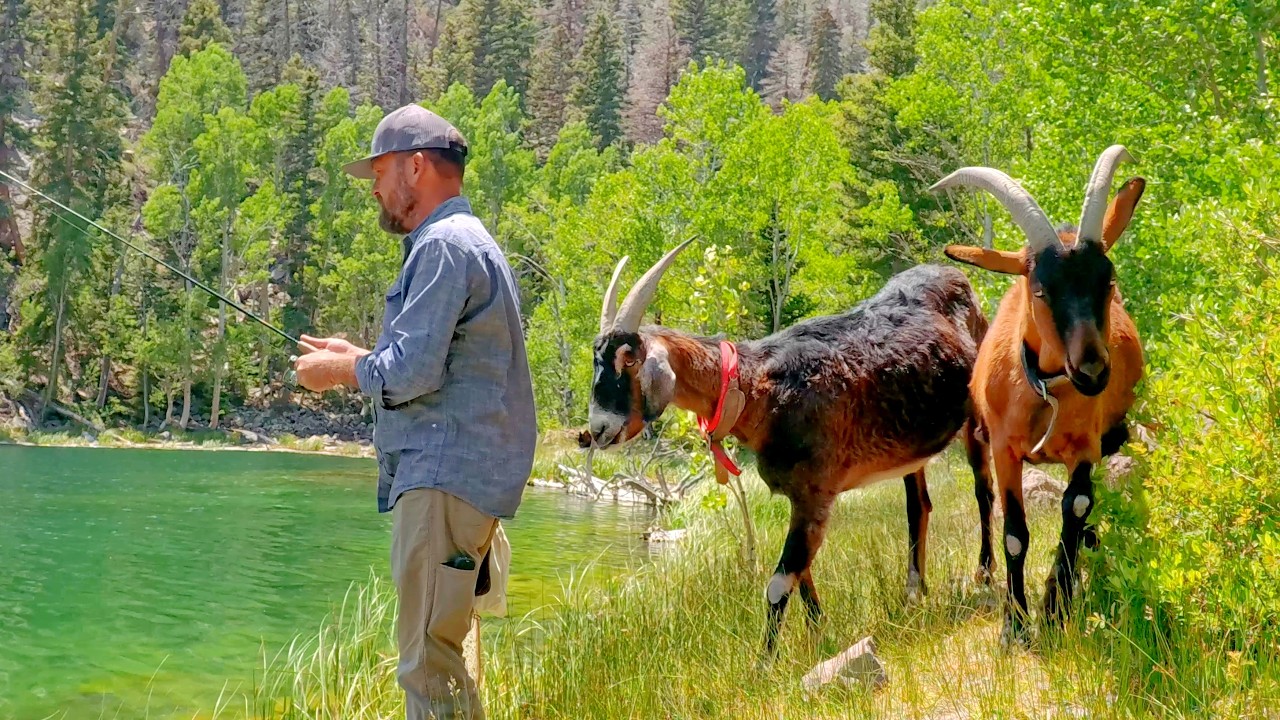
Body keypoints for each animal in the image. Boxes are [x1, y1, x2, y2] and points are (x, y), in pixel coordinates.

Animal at [582, 240, 990, 656]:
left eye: (629, 359)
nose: (597, 430)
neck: (758, 387)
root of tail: (954, 275)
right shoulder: (800, 497)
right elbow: (802, 573)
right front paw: (819, 636)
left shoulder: (815, 492)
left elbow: (779, 583)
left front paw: (766, 662)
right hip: (911, 447)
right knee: (918, 505)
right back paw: (915, 592)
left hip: (977, 416)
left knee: (983, 489)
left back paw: (984, 575)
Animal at [932, 145, 1145, 645]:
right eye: (1042, 288)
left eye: (1108, 282)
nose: (1092, 370)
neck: (1044, 392)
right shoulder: (1005, 450)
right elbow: (1014, 531)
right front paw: (1014, 625)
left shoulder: (1086, 446)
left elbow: (1077, 507)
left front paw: (1055, 607)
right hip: (976, 442)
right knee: (983, 496)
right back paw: (984, 572)